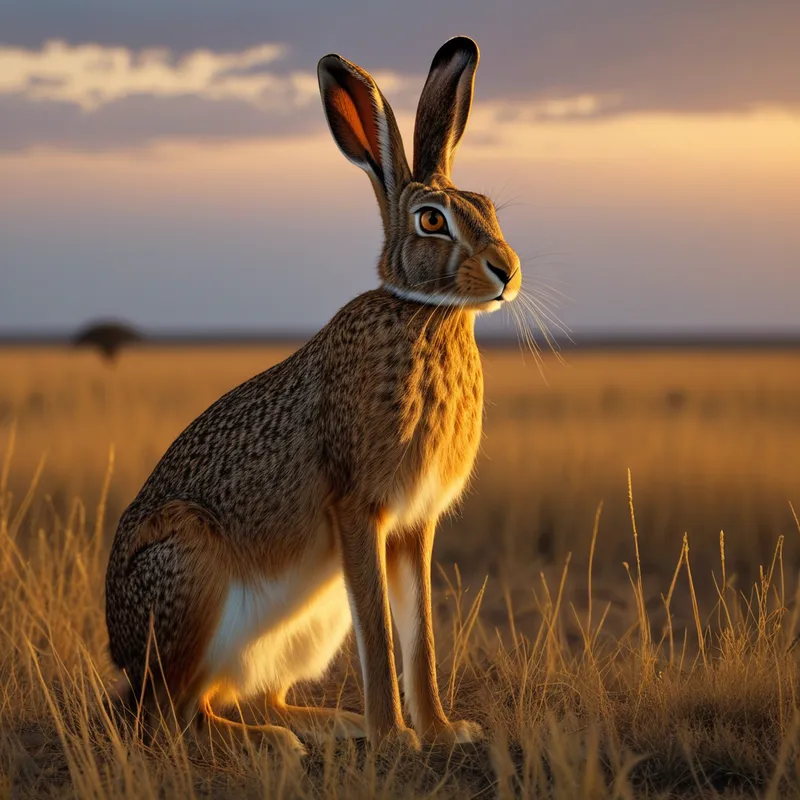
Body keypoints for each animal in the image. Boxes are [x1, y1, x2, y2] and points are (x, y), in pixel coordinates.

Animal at [105, 34, 521, 756]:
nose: (507, 272)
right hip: (191, 571)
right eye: (432, 220)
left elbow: (420, 634)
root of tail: (119, 650)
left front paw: (444, 731)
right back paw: (274, 741)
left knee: (239, 694)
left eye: (488, 208)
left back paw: (327, 723)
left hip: (306, 626)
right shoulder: (359, 508)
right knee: (167, 715)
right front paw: (396, 737)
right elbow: (381, 632)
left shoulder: (414, 526)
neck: (425, 313)